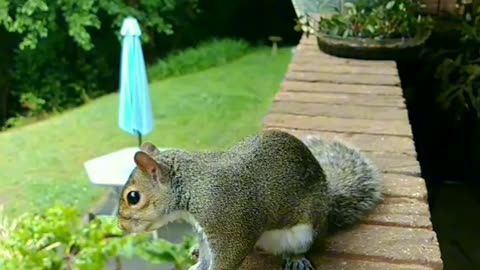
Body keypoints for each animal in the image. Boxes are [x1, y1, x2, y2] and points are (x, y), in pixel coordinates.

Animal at [118, 130, 384, 268]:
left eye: (133, 197)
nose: (121, 226)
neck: (194, 185)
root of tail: (328, 207)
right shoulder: (204, 231)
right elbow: (206, 254)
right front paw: (197, 263)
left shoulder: (228, 225)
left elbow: (227, 257)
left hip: (306, 232)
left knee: (302, 246)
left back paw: (296, 258)